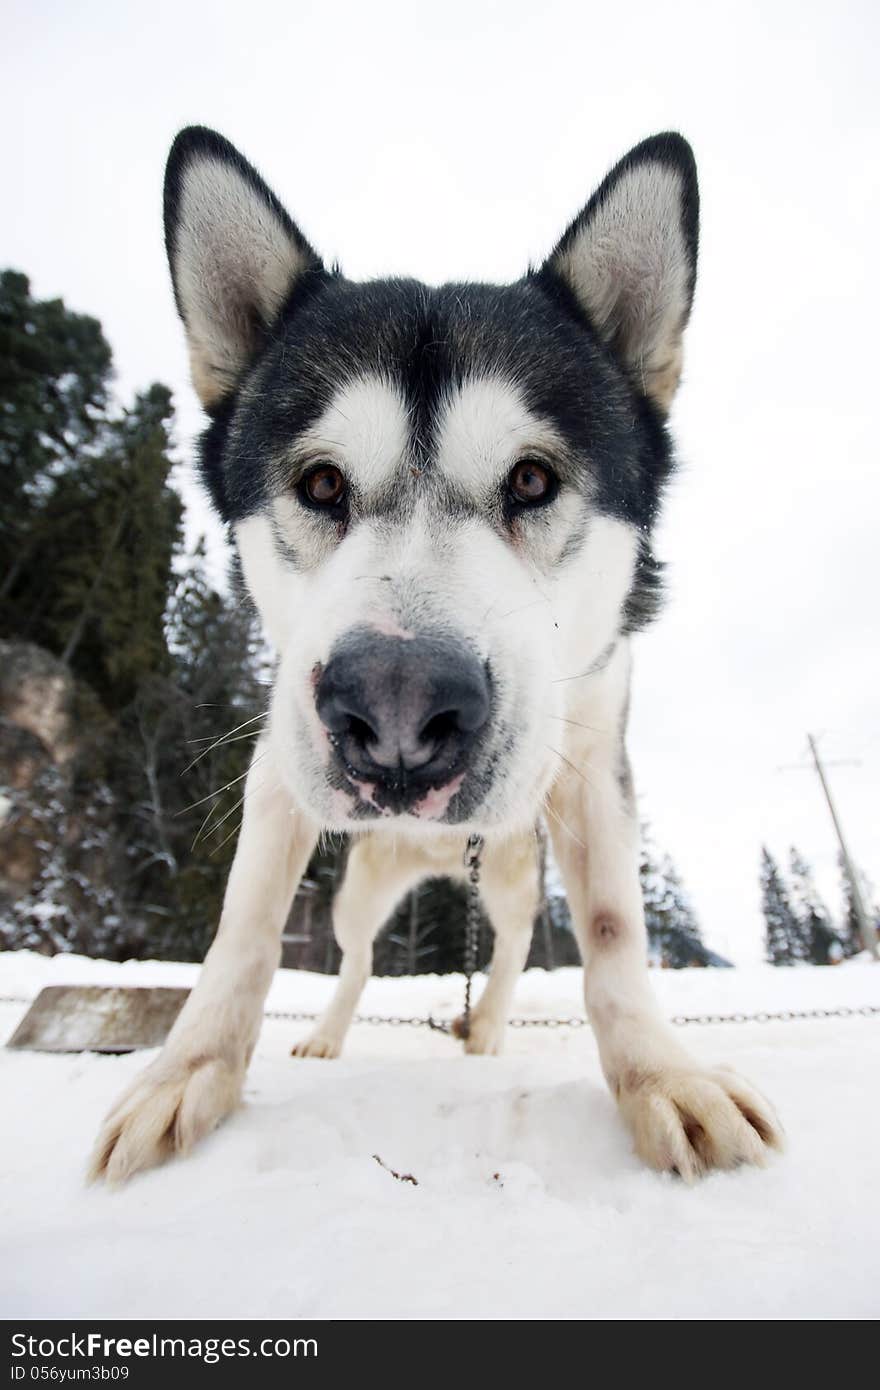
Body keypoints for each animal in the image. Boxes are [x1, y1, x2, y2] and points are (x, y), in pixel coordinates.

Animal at [88, 127, 778, 1184]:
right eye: (320, 484)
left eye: (532, 480)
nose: (399, 712)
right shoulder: (279, 768)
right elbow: (245, 929)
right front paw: (189, 1071)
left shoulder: (593, 766)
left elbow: (613, 933)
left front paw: (660, 1076)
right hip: (362, 885)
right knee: (360, 956)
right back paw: (331, 1032)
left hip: (511, 873)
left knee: (507, 945)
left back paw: (486, 1026)